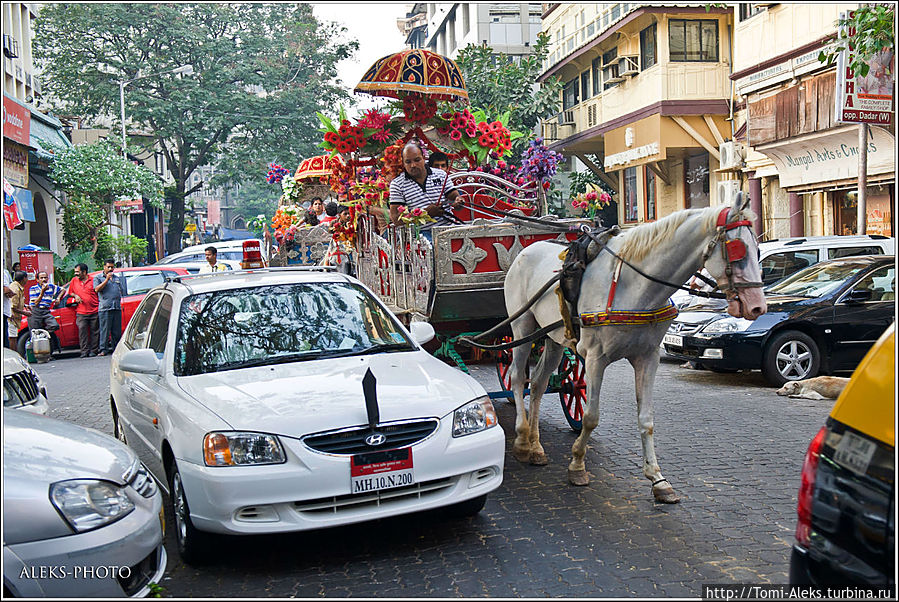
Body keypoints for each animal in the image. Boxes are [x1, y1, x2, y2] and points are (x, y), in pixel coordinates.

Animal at [506, 195, 768, 500]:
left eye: (757, 250)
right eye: (738, 251)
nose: (757, 307)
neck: (634, 286)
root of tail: (526, 250)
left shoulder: (648, 357)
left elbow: (646, 419)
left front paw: (657, 478)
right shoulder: (595, 359)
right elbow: (591, 417)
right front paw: (577, 465)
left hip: (553, 337)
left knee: (537, 383)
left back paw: (536, 447)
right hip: (522, 327)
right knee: (517, 377)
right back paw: (522, 440)